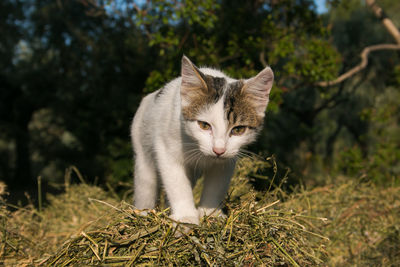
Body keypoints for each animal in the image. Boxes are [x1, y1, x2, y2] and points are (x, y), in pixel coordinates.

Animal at [130, 56, 274, 226]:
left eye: (238, 129)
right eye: (204, 125)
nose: (218, 150)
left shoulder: (227, 160)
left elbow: (216, 185)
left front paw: (210, 214)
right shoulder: (166, 149)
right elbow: (177, 182)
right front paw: (185, 217)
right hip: (142, 151)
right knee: (146, 184)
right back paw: (143, 214)